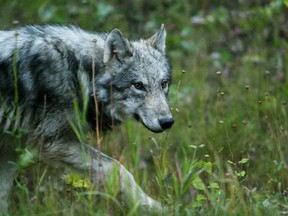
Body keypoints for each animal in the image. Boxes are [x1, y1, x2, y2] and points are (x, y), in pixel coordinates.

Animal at [0, 24, 173, 214]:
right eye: (138, 86)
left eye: (163, 84)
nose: (167, 122)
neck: (77, 73)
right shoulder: (56, 142)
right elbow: (118, 168)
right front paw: (154, 208)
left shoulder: (9, 148)